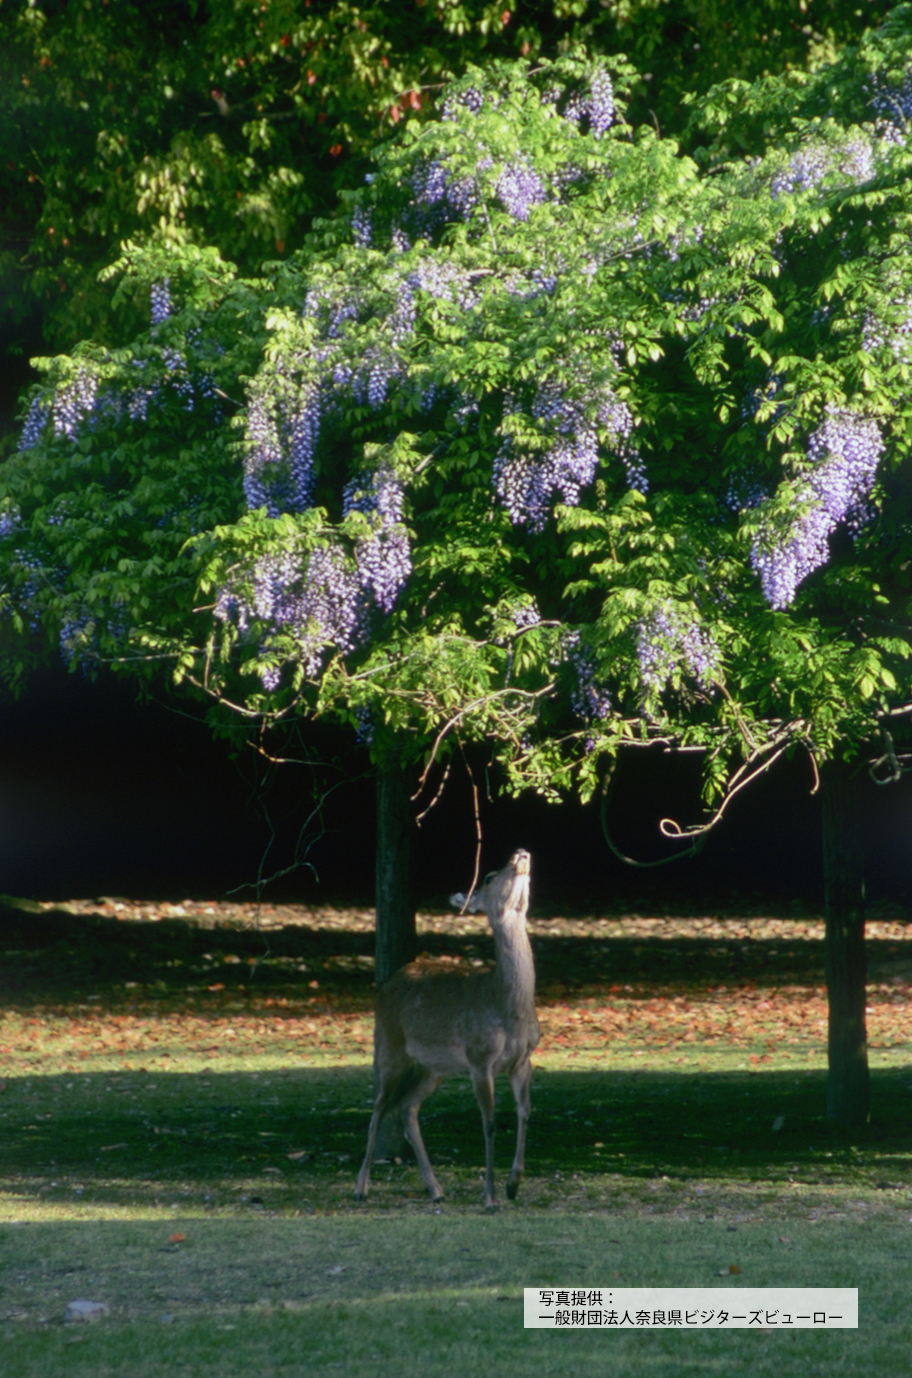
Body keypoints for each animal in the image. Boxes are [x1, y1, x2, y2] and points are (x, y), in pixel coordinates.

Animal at [352, 848, 540, 1207]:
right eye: (489, 877)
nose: (521, 853)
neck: (510, 1008)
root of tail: (381, 988)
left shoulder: (523, 1059)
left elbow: (525, 1112)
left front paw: (513, 1185)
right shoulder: (480, 1057)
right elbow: (489, 1122)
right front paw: (490, 1197)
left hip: (433, 1066)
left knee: (407, 1106)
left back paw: (436, 1189)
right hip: (390, 1045)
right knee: (378, 1107)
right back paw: (360, 1188)